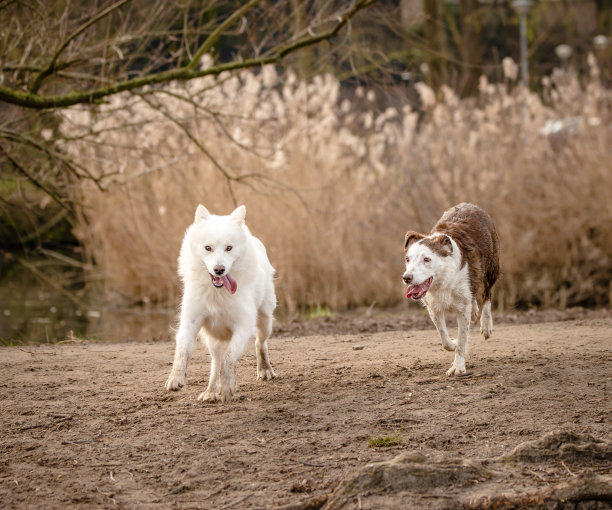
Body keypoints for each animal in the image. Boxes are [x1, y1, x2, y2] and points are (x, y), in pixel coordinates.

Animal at [164, 205, 276, 400]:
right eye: (208, 248)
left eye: (229, 248)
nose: (219, 269)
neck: (217, 292)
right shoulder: (190, 322)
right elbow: (182, 349)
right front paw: (176, 378)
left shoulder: (242, 327)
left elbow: (229, 358)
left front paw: (227, 386)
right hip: (213, 339)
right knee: (215, 363)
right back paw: (209, 392)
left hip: (265, 321)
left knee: (259, 343)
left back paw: (265, 370)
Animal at [404, 202, 500, 374]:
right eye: (408, 259)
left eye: (426, 259)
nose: (406, 278)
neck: (444, 279)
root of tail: (469, 204)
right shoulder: (433, 306)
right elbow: (443, 336)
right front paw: (452, 343)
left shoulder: (462, 309)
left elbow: (462, 339)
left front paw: (458, 367)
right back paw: (475, 311)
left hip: (492, 267)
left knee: (487, 294)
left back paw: (486, 324)